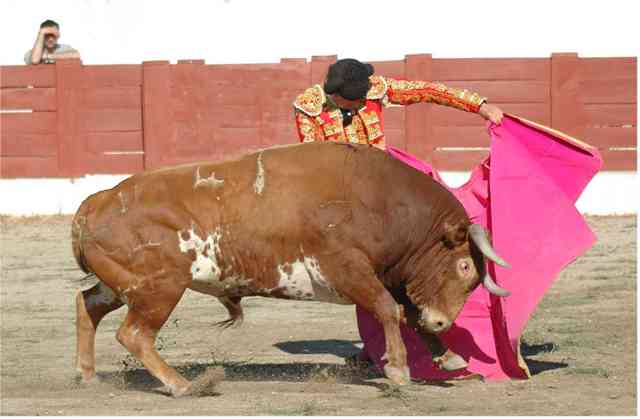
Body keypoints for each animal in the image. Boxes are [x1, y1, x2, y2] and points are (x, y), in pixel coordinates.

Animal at [71, 142, 510, 398]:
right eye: (464, 265)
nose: (442, 321)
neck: (382, 203)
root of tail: (96, 201)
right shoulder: (346, 267)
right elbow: (389, 309)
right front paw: (399, 370)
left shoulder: (386, 275)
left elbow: (405, 314)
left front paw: (451, 360)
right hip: (159, 288)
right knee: (134, 334)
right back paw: (184, 385)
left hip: (123, 286)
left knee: (87, 304)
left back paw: (88, 375)